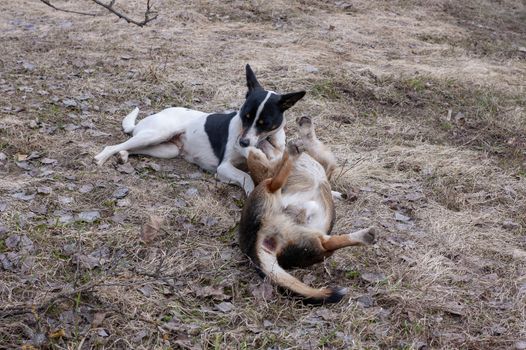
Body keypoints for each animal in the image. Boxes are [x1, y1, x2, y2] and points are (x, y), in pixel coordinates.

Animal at [96, 64, 306, 196]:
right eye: (244, 116)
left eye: (264, 123)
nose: (242, 142)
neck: (264, 141)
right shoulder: (224, 167)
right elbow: (246, 177)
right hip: (157, 134)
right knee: (114, 146)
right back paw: (102, 158)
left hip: (167, 149)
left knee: (133, 148)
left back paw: (123, 155)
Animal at [237, 117, 378, 304]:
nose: (260, 140)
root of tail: (253, 247)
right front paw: (304, 129)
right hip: (269, 192)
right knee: (274, 183)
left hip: (309, 239)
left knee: (328, 244)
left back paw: (364, 236)